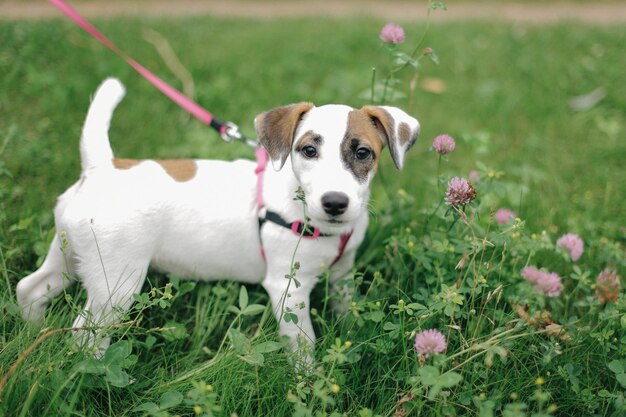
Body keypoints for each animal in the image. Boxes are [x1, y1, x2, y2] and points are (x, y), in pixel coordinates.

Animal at [15, 79, 420, 364]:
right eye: (308, 150)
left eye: (362, 152)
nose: (335, 203)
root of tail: (100, 168)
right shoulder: (288, 290)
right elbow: (304, 345)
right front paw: (309, 383)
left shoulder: (342, 272)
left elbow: (345, 307)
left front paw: (350, 331)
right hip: (116, 281)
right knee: (84, 332)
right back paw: (93, 372)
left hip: (70, 256)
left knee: (30, 288)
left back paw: (31, 332)